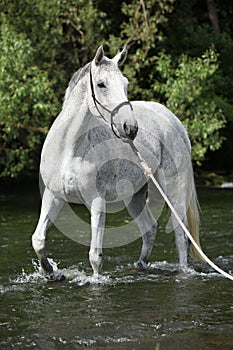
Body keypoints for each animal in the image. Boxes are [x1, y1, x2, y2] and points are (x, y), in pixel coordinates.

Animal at [32, 45, 202, 278]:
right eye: (101, 84)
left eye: (125, 84)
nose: (130, 128)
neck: (68, 149)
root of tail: (172, 118)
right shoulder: (53, 196)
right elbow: (38, 240)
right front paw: (50, 272)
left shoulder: (96, 201)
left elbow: (95, 257)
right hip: (134, 197)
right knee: (149, 228)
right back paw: (140, 267)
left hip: (173, 188)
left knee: (180, 233)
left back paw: (183, 272)